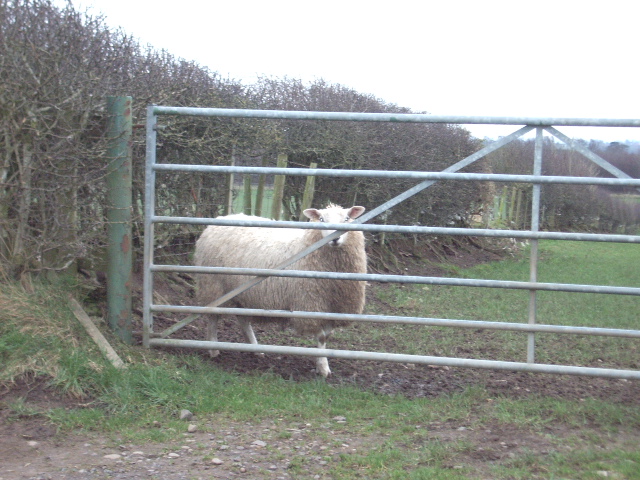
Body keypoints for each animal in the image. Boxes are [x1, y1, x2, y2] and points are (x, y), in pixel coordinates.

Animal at [192, 202, 368, 376]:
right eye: (321, 219)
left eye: (347, 218)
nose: (335, 238)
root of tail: (218, 221)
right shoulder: (310, 304)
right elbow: (321, 337)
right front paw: (323, 367)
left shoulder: (334, 307)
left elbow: (327, 336)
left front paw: (323, 365)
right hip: (213, 285)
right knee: (213, 316)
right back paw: (213, 349)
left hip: (240, 291)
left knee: (242, 320)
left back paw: (256, 349)